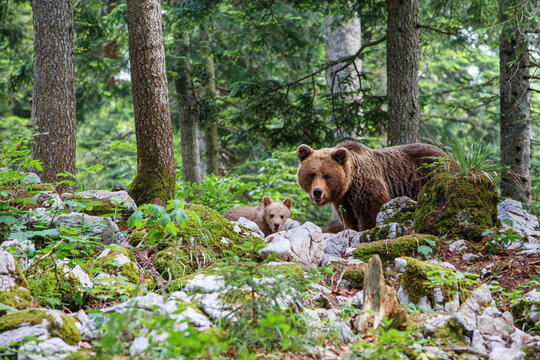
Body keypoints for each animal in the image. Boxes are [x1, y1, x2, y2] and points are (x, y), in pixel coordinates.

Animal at [298, 141, 446, 231]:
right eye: (312, 174)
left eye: (326, 175)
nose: (317, 191)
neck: (349, 185)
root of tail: (445, 154)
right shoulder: (343, 201)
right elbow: (348, 220)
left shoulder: (365, 188)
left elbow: (372, 211)